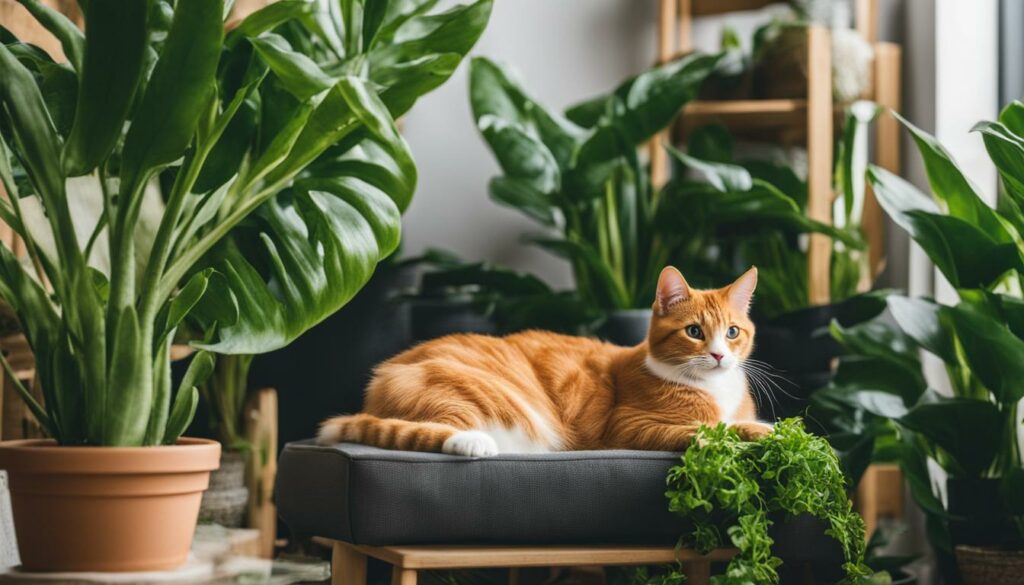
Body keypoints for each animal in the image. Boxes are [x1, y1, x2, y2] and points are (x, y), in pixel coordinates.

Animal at [315, 266, 770, 456]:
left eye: (732, 332)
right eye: (694, 331)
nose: (718, 354)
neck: (714, 388)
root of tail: (376, 384)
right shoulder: (629, 427)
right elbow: (713, 429)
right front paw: (763, 431)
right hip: (465, 393)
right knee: (438, 428)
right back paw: (473, 444)